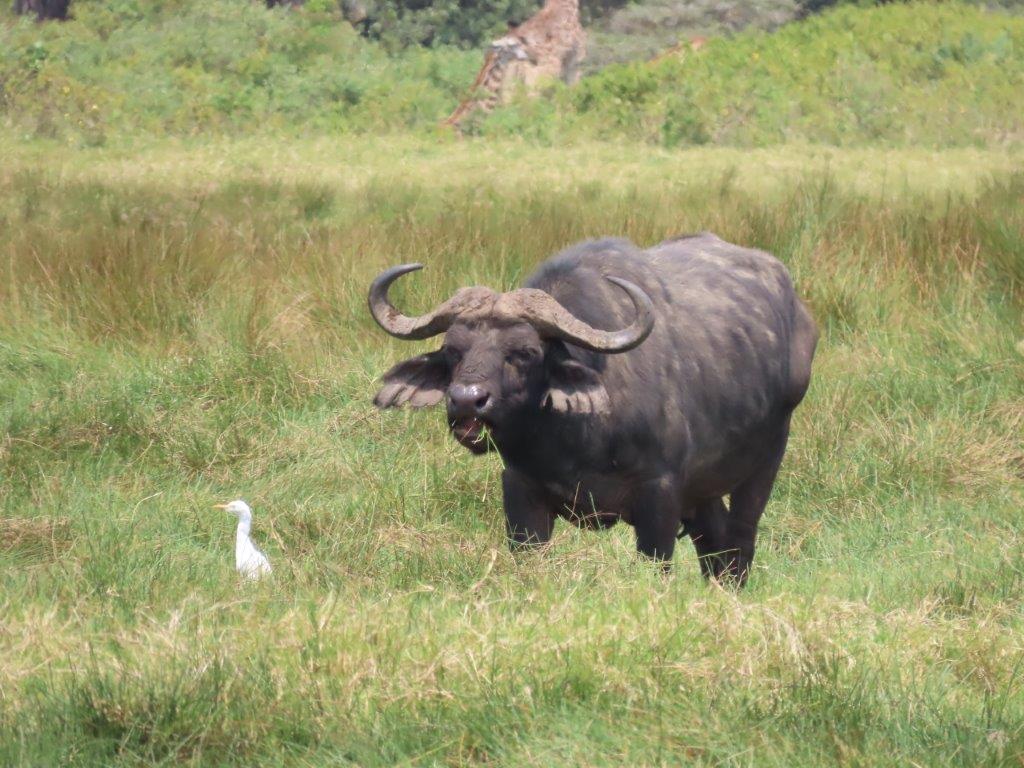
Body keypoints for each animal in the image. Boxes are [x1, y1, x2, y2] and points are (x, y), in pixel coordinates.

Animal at [369, 233, 818, 583]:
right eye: (452, 350)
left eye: (525, 352)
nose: (467, 400)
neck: (572, 439)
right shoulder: (520, 490)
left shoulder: (660, 495)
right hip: (703, 489)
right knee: (715, 547)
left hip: (765, 462)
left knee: (739, 543)